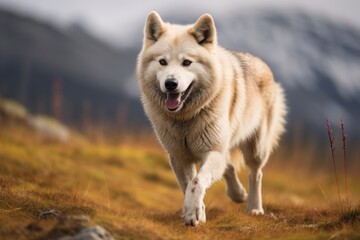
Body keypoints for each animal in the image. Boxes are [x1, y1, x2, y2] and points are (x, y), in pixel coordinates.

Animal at [136, 10, 286, 226]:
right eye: (162, 62)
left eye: (187, 62)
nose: (171, 83)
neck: (186, 119)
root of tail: (263, 64)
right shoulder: (179, 158)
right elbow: (189, 185)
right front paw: (197, 213)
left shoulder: (212, 151)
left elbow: (197, 181)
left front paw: (193, 212)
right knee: (229, 167)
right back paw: (238, 194)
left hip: (256, 148)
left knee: (255, 173)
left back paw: (254, 208)